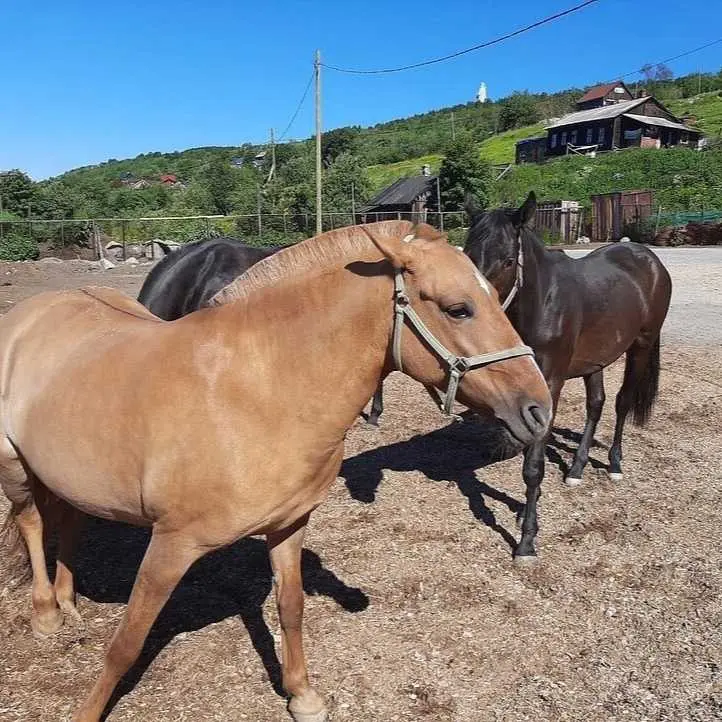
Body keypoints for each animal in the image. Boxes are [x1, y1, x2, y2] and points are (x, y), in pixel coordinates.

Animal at [1, 222, 552, 716]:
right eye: (459, 308)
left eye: (497, 290)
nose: (538, 410)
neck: (256, 392)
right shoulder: (170, 545)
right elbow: (127, 643)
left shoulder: (289, 524)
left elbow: (290, 607)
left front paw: (302, 696)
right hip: (16, 469)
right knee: (32, 523)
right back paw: (46, 614)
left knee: (71, 523)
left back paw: (69, 602)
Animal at [462, 191, 668, 564]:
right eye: (468, 257)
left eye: (508, 261)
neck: (542, 301)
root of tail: (648, 258)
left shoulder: (551, 381)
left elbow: (533, 465)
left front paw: (527, 541)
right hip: (595, 358)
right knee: (596, 404)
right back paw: (576, 470)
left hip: (641, 346)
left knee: (622, 403)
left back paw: (614, 464)